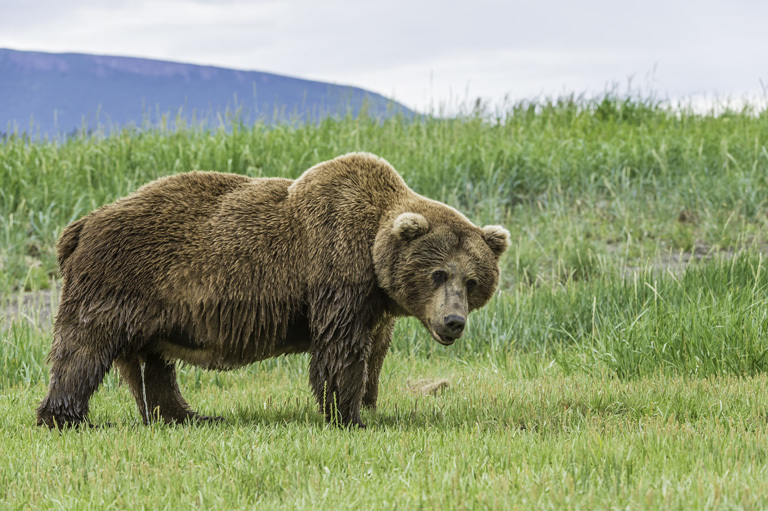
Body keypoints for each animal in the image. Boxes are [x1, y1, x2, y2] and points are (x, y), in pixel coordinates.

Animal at [36, 152, 510, 428]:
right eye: (438, 274)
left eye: (472, 280)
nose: (453, 321)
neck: (373, 252)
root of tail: (80, 225)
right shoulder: (336, 270)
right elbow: (340, 349)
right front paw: (348, 415)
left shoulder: (376, 301)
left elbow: (375, 349)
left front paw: (372, 402)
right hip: (121, 279)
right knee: (83, 348)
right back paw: (65, 417)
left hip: (154, 304)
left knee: (152, 364)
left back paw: (187, 415)